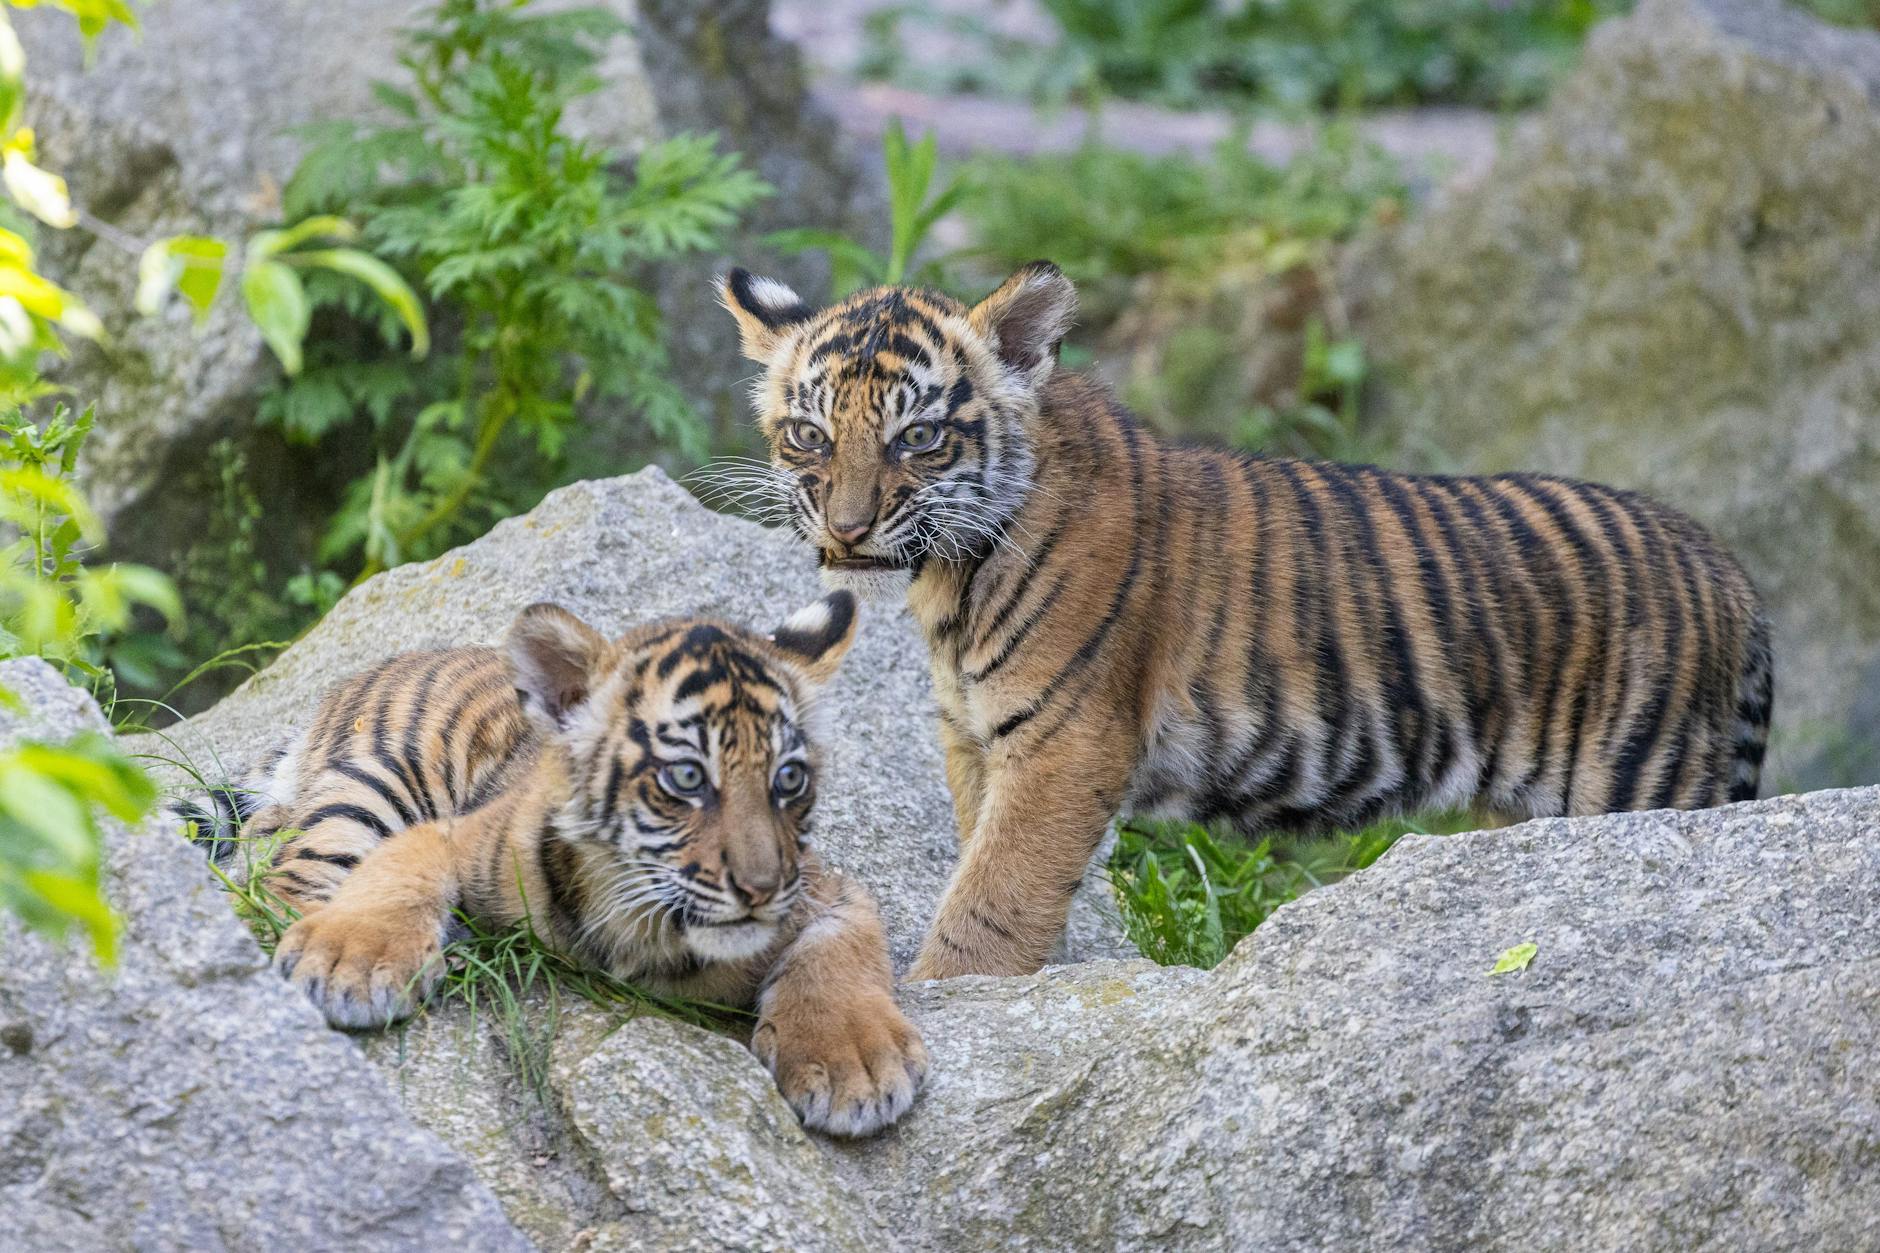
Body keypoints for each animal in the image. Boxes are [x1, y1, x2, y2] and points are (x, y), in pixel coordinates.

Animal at [181, 591, 928, 1137]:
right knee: (277, 884)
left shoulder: (824, 885)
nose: (762, 887)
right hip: (374, 779)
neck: (647, 925)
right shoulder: (458, 834)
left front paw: (851, 1066)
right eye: (687, 776)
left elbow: (843, 947)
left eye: (789, 780)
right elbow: (399, 868)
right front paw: (350, 963)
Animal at [717, 260, 1775, 981]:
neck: (954, 575)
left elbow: (995, 894)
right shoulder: (976, 738)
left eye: (921, 438)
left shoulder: (1063, 745)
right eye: (809, 434)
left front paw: (949, 991)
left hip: (1639, 786)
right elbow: (986, 863)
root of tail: (1729, 567)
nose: (846, 527)